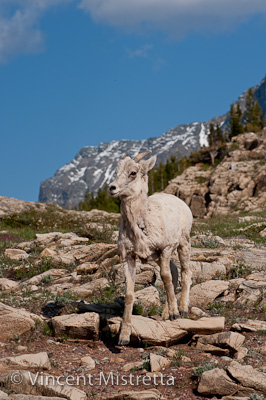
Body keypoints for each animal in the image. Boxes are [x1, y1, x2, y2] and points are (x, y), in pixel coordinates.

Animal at [109, 152, 192, 346]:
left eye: (133, 172)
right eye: (116, 171)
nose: (112, 188)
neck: (141, 227)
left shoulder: (165, 249)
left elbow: (166, 278)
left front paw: (175, 314)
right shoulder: (128, 257)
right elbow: (129, 294)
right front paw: (123, 337)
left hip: (182, 244)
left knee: (185, 272)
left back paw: (182, 310)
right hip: (160, 258)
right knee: (176, 272)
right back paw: (165, 315)